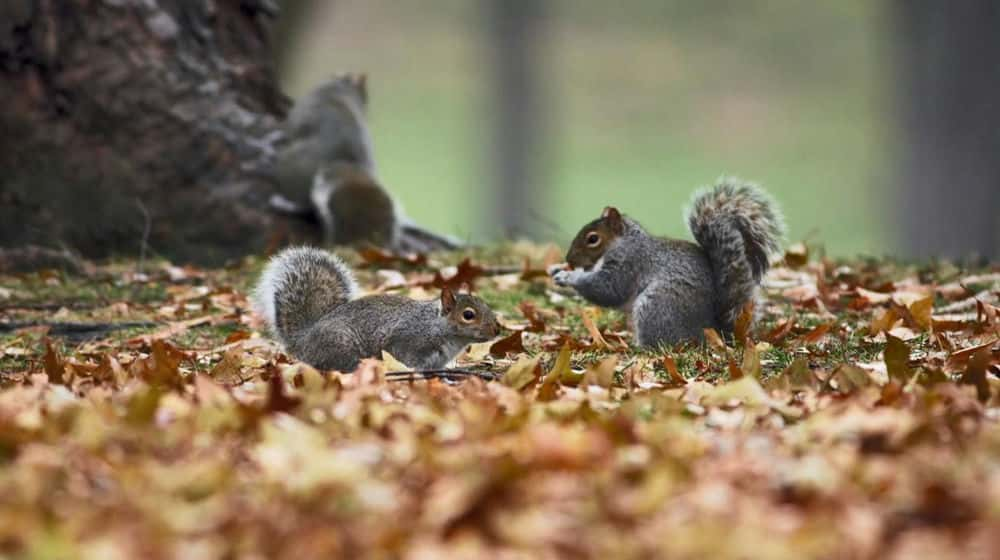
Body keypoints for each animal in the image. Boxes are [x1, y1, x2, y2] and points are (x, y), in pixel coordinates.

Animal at [250, 246, 500, 372]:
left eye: (486, 305)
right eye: (468, 315)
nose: (497, 330)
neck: (437, 327)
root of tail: (304, 340)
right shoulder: (407, 343)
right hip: (340, 346)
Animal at [552, 177, 784, 348]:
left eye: (593, 239)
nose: (569, 259)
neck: (625, 241)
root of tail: (714, 331)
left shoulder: (629, 262)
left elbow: (607, 289)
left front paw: (569, 276)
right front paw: (556, 269)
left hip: (655, 306)